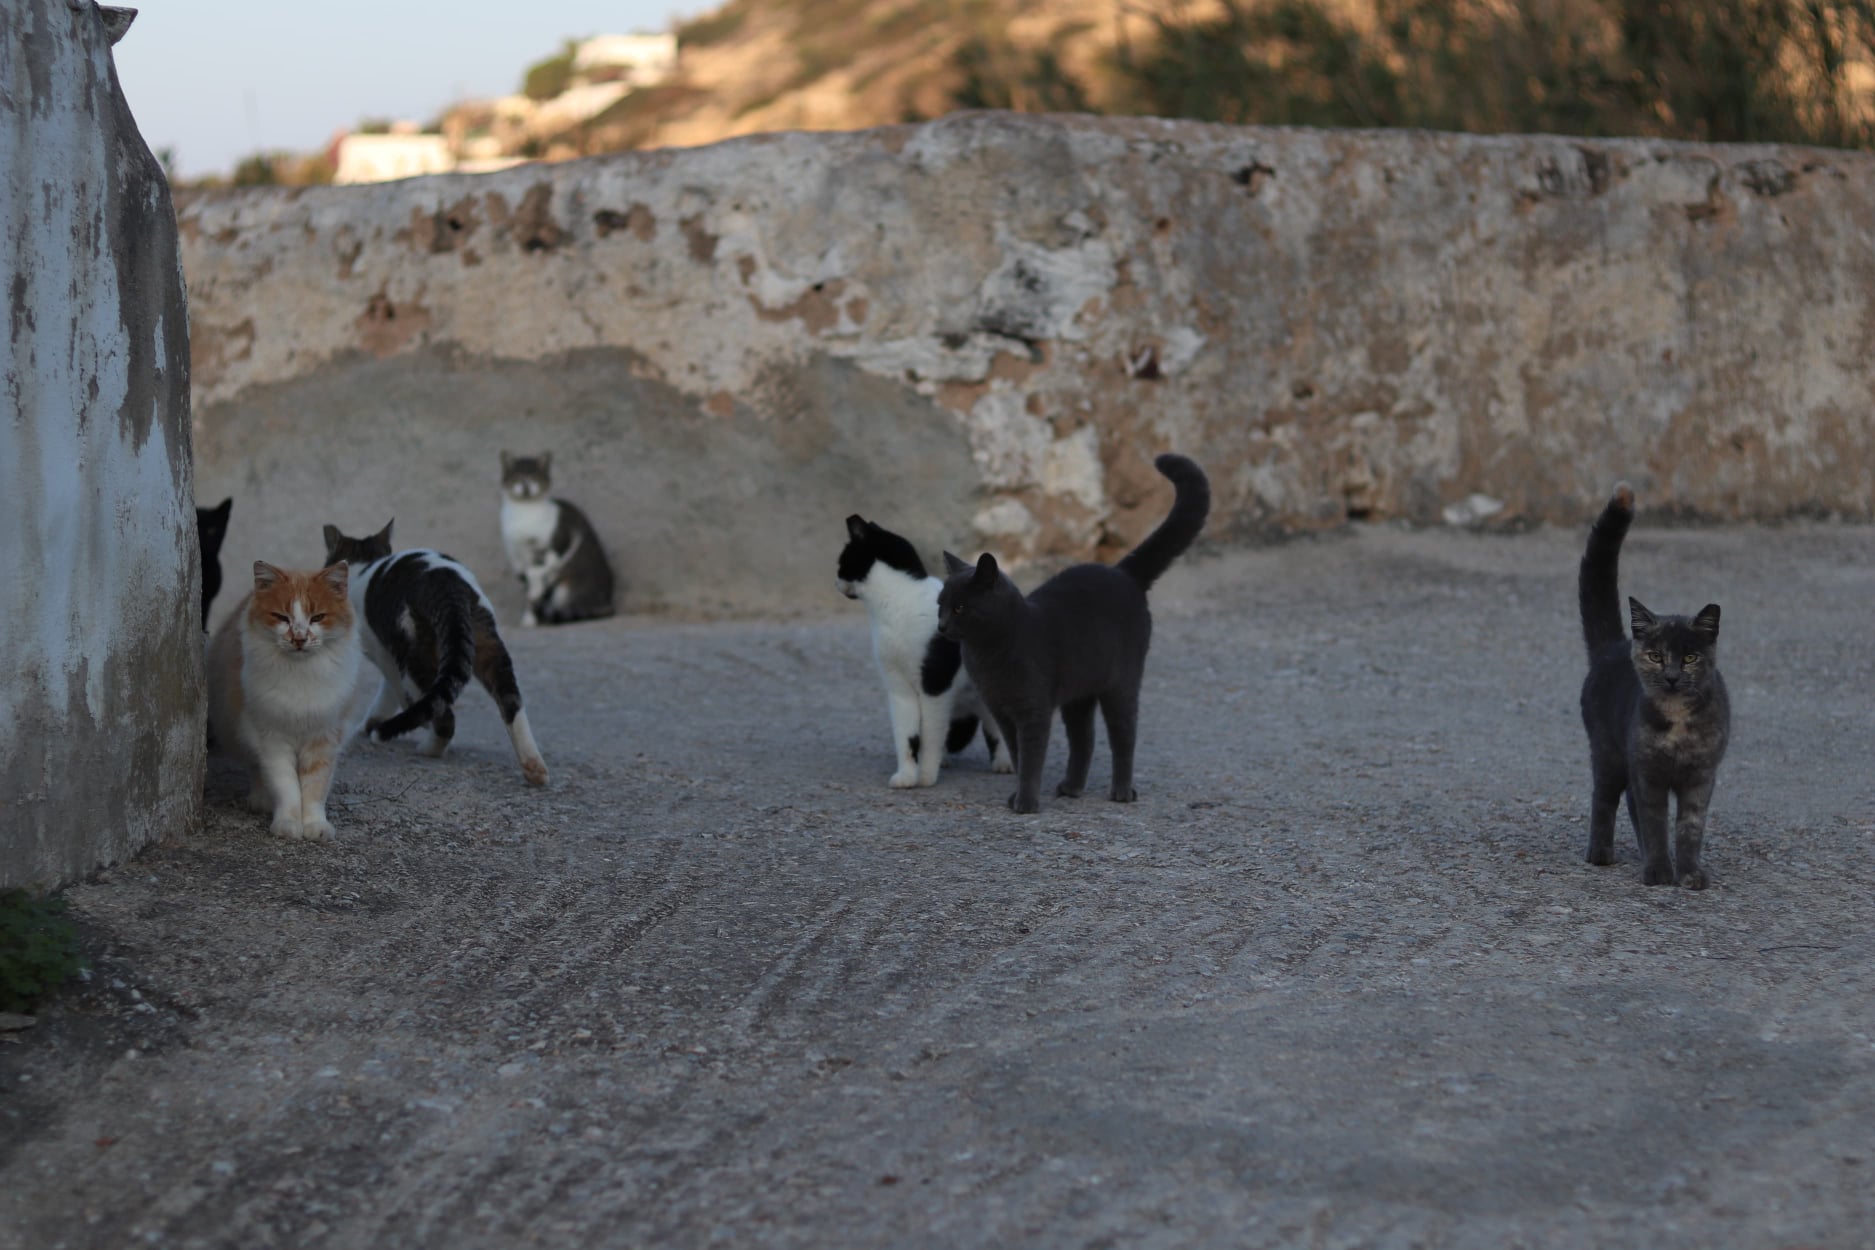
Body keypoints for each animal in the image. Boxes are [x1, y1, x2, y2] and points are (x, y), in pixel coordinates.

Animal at [324, 517, 547, 783]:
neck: (364, 563)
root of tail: (448, 587)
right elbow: (389, 693)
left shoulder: (384, 654)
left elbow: (393, 693)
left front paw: (377, 724)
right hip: (488, 643)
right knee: (511, 702)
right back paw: (534, 766)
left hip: (413, 655)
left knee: (444, 715)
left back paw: (428, 748)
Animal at [498, 449, 615, 625]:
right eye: (517, 476)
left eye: (535, 477)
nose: (526, 487)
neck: (524, 513)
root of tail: (607, 602)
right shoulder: (515, 556)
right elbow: (527, 586)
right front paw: (529, 618)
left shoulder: (558, 542)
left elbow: (537, 570)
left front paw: (534, 604)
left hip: (567, 588)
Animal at [836, 513, 1012, 787]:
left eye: (842, 562)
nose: (836, 580)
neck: (895, 605)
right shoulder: (898, 687)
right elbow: (907, 736)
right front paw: (907, 776)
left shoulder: (934, 685)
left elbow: (929, 735)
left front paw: (927, 777)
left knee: (995, 729)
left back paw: (1004, 764)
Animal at [937, 455, 1215, 817]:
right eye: (940, 604)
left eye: (959, 608)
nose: (941, 625)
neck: (987, 655)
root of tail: (1123, 572)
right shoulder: (1002, 712)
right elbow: (1016, 755)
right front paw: (1017, 797)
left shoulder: (1033, 711)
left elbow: (1030, 760)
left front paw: (1026, 803)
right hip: (1078, 693)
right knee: (1085, 740)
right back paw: (1071, 788)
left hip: (1121, 683)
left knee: (1123, 737)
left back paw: (1122, 791)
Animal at [1575, 483, 1732, 888]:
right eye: (1656, 656)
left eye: (1690, 657)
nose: (1673, 675)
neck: (1677, 723)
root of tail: (1612, 647)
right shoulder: (1648, 773)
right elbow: (1655, 822)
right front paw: (1660, 871)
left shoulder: (1700, 777)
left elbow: (1689, 828)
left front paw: (1689, 873)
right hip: (1608, 752)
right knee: (1605, 798)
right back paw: (1600, 854)